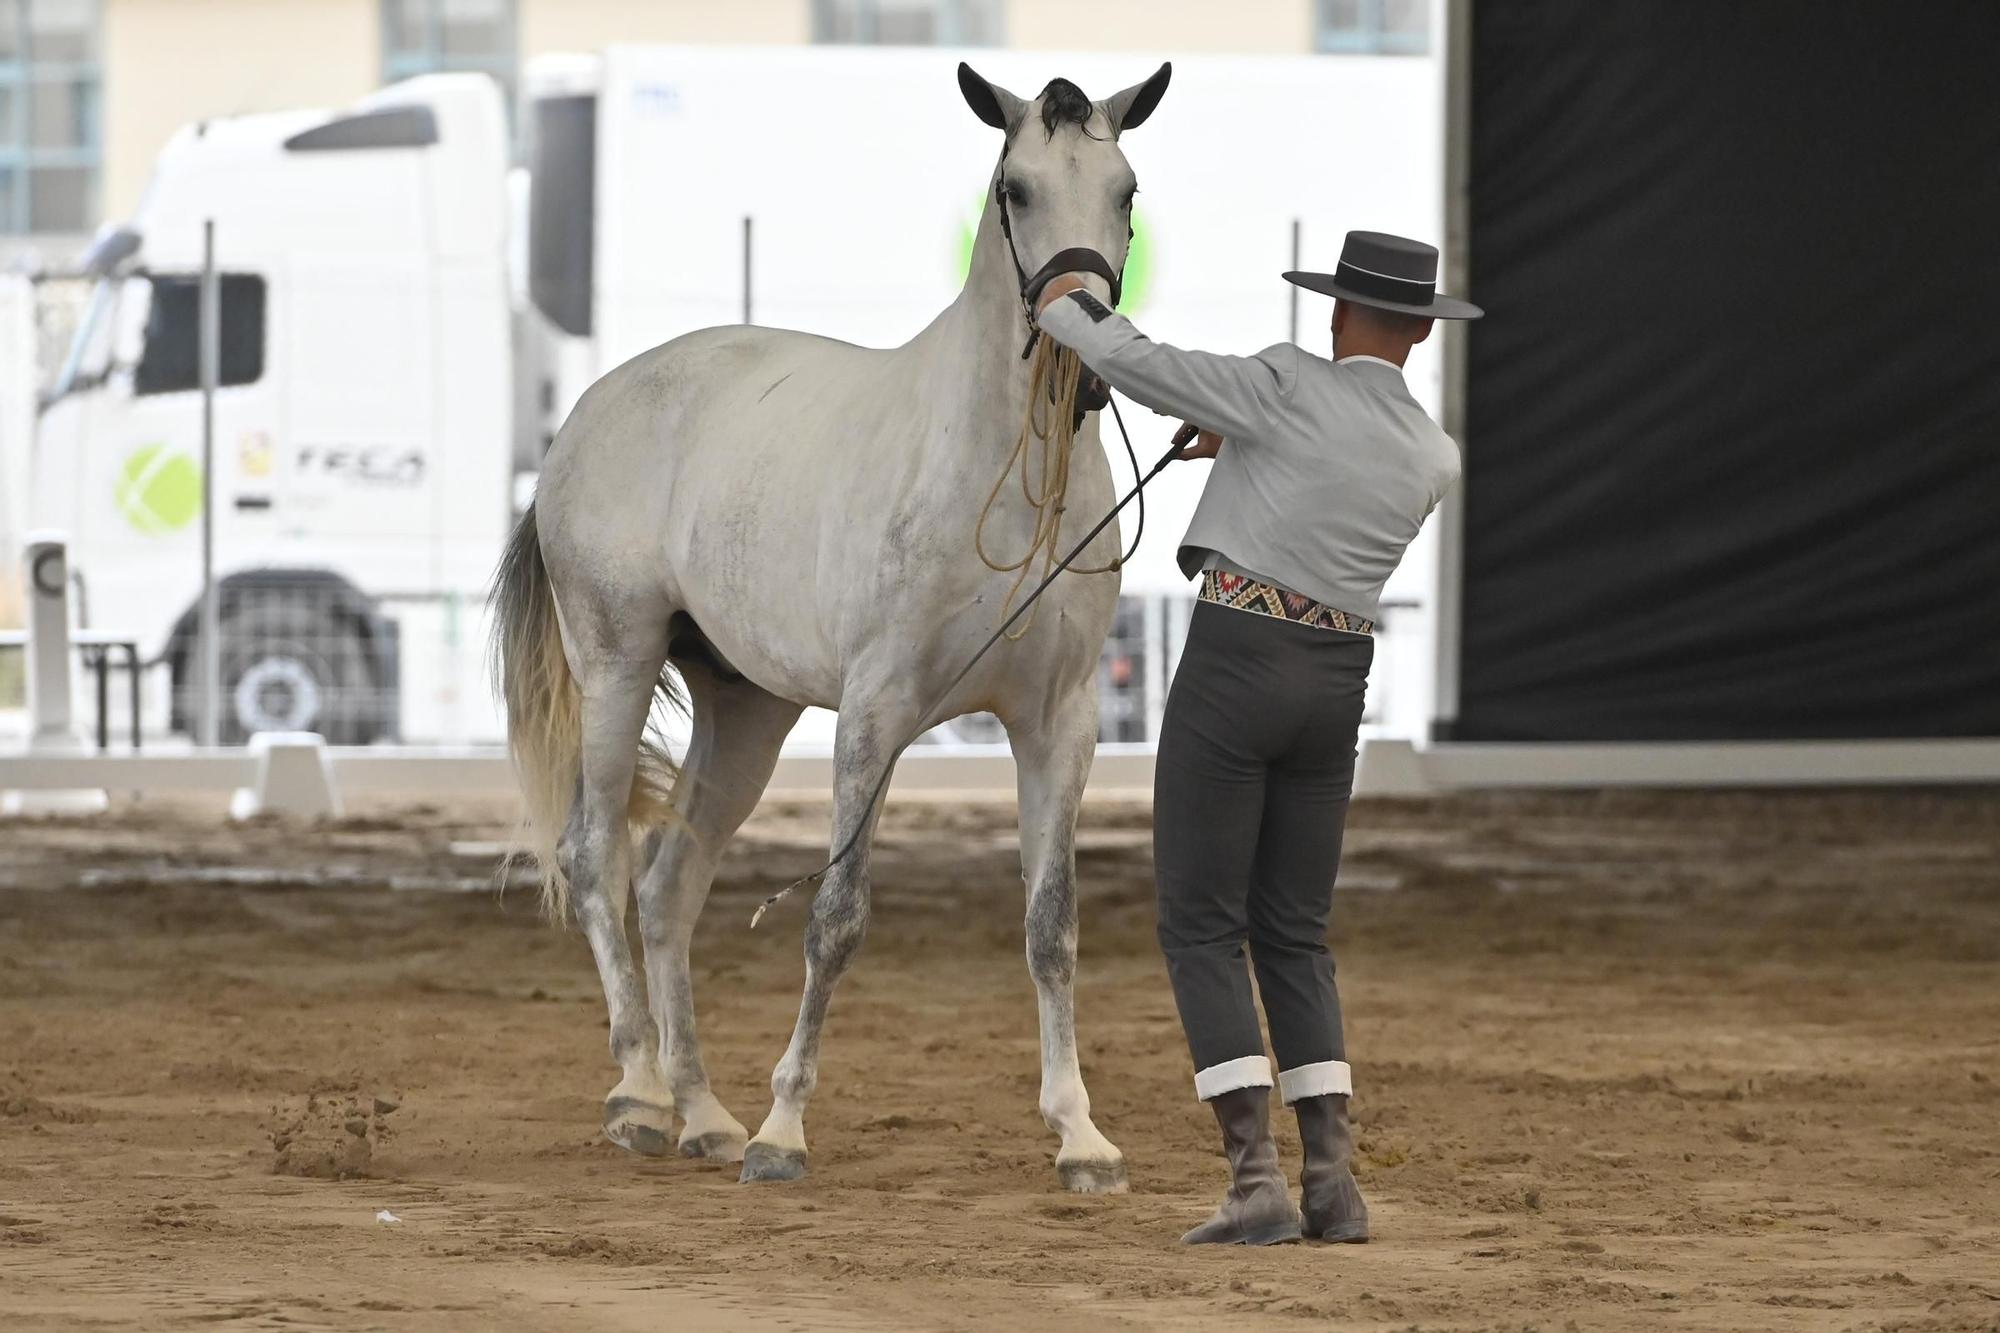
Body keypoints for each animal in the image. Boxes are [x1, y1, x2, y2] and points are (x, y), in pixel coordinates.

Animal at [491, 61, 1172, 1193]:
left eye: (1125, 191)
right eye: (1016, 188)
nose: (1083, 354)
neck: (996, 473)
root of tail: (590, 409)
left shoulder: (1059, 724)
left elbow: (1051, 926)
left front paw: (1080, 1134)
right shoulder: (875, 715)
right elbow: (836, 917)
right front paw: (783, 1131)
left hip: (748, 713)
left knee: (669, 889)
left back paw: (702, 1110)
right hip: (616, 664)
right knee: (596, 857)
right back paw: (641, 1094)